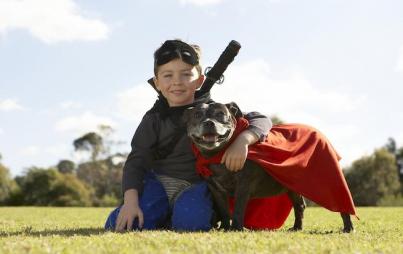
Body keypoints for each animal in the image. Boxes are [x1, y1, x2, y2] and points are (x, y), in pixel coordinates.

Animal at [183, 101, 354, 232]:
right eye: (197, 115)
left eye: (220, 114)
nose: (209, 122)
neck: (218, 154)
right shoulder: (216, 189)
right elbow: (225, 211)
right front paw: (225, 227)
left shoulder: (243, 186)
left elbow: (238, 208)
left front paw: (236, 228)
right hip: (292, 188)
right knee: (299, 206)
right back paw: (297, 227)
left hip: (327, 181)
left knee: (341, 202)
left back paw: (348, 228)